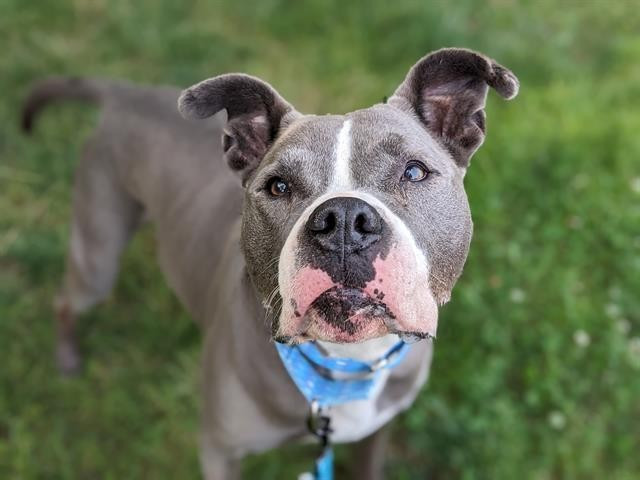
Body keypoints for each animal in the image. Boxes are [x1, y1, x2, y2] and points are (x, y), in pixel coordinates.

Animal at [22, 47, 516, 478]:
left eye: (414, 172)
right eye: (278, 186)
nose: (342, 221)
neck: (345, 362)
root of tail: (126, 91)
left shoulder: (378, 431)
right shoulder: (219, 449)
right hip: (98, 255)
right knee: (66, 299)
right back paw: (67, 359)